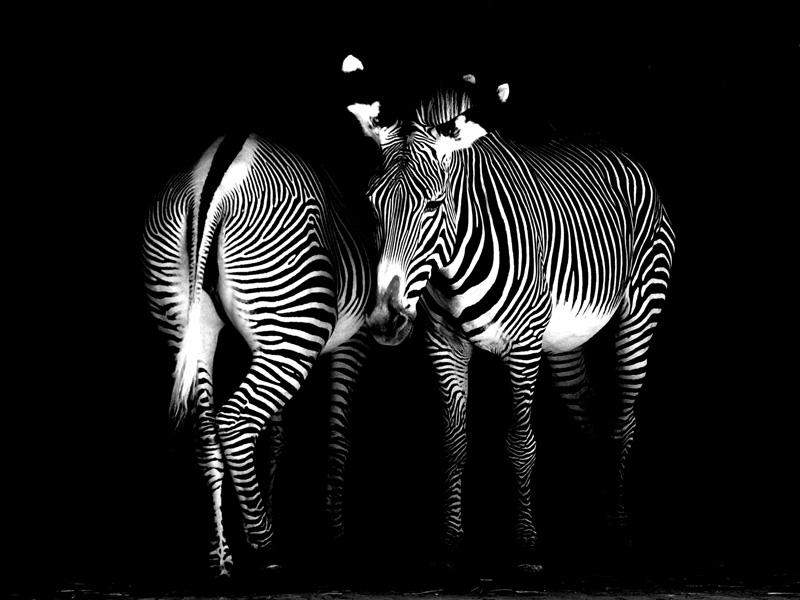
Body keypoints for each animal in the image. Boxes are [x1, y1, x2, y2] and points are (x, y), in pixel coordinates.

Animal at [142, 132, 373, 577]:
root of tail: (209, 177)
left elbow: (278, 435)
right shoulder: (356, 338)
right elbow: (339, 436)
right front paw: (335, 536)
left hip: (190, 321)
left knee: (206, 429)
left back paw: (221, 555)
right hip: (295, 326)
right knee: (234, 423)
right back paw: (266, 546)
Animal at [342, 55, 675, 573]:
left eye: (434, 204)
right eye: (372, 204)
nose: (384, 321)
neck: (453, 263)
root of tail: (608, 142)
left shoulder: (524, 347)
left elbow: (521, 444)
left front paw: (525, 544)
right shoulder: (444, 345)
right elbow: (454, 444)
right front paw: (450, 543)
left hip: (639, 314)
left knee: (624, 422)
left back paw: (618, 531)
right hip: (565, 345)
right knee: (593, 418)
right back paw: (598, 520)